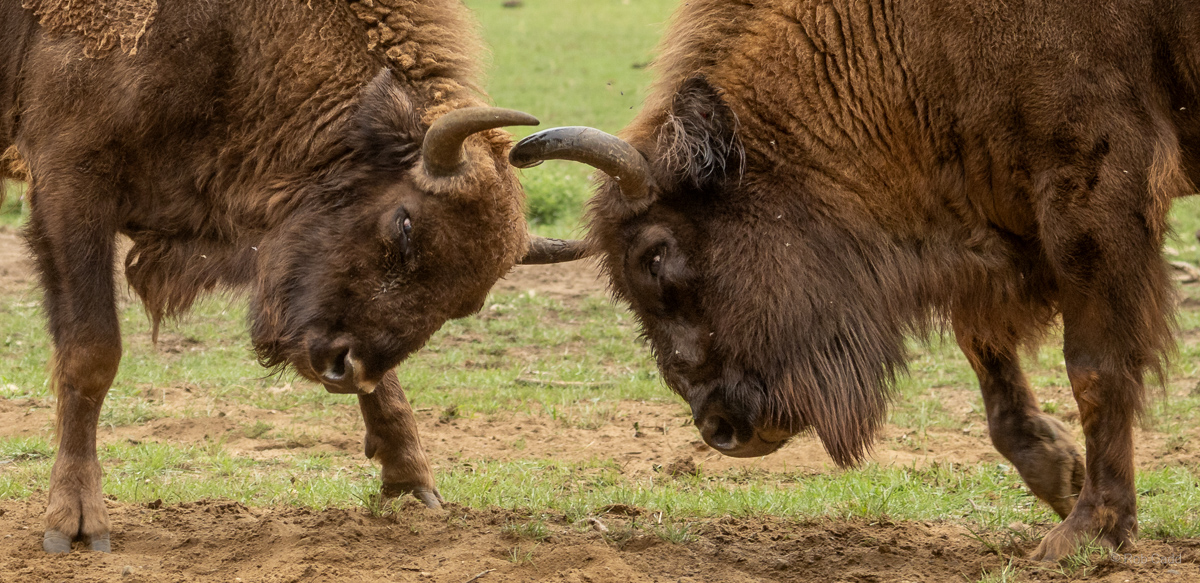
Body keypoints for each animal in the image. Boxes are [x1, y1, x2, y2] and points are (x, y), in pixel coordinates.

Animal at [1, 0, 582, 553]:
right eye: (405, 225)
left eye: (466, 303)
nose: (344, 368)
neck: (234, 39)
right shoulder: (69, 190)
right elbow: (92, 354)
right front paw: (76, 523)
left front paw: (413, 481)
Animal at [510, 0, 1198, 561]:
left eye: (654, 256)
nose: (720, 429)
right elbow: (988, 361)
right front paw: (1060, 475)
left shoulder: (1094, 191)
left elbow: (1095, 369)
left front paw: (1087, 532)